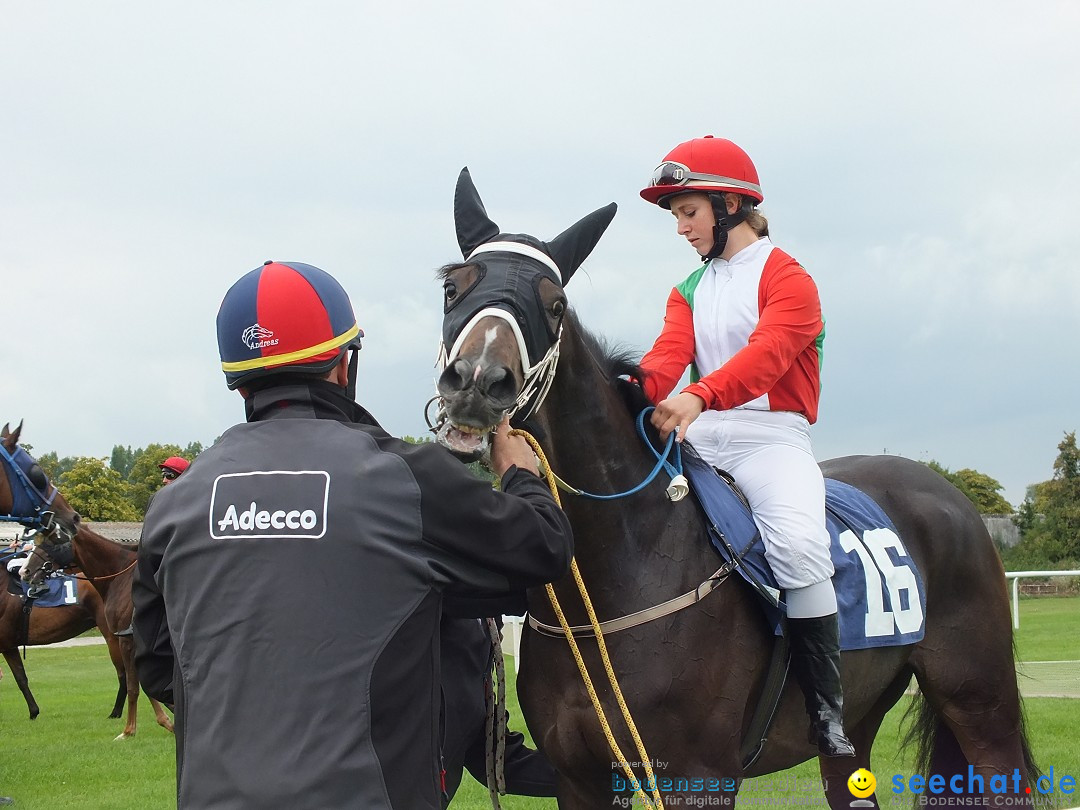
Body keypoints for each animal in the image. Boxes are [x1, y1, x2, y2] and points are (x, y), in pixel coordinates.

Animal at [429, 168, 1036, 807]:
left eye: (555, 304)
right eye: (452, 288)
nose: (477, 381)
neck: (618, 572)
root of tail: (950, 495)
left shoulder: (700, 777)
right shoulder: (580, 778)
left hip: (979, 701)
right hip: (857, 727)